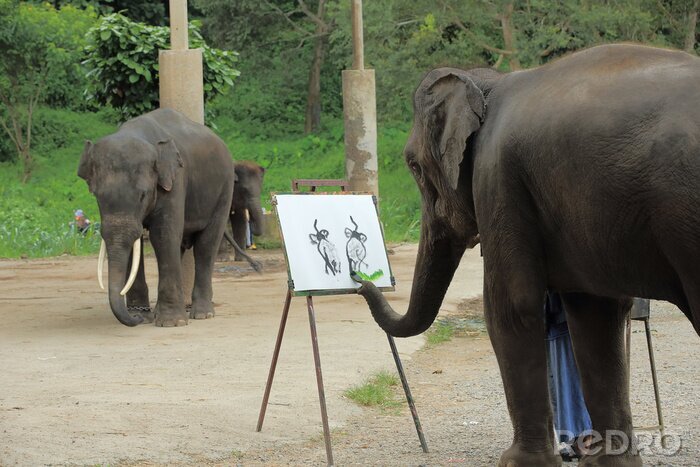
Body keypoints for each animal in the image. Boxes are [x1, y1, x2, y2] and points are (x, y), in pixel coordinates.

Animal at [78, 108, 234, 327]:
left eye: (142, 195)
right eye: (97, 196)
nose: (135, 317)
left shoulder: (175, 182)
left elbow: (163, 237)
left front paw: (171, 323)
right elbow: (137, 245)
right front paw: (143, 317)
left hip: (225, 188)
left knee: (206, 244)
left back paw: (202, 314)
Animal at [351, 44, 700, 466]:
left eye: (414, 167)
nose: (358, 279)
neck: (489, 82)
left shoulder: (498, 179)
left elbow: (511, 308)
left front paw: (518, 462)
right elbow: (594, 314)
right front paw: (609, 463)